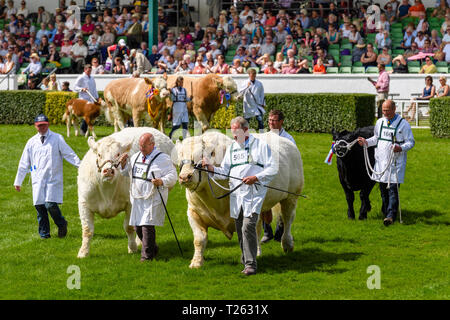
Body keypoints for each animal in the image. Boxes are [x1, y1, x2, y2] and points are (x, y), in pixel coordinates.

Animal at [77, 127, 176, 258]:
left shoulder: (130, 204)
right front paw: (83, 252)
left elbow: (129, 227)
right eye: (99, 154)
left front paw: (132, 248)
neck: (107, 189)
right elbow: (87, 230)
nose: (108, 171)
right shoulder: (84, 203)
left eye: (118, 154)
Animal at [178, 130, 304, 268]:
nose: (185, 176)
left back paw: (287, 244)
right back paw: (258, 251)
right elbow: (199, 239)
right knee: (259, 228)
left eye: (201, 155)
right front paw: (196, 262)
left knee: (287, 219)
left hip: (291, 196)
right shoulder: (193, 212)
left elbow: (246, 237)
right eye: (180, 156)